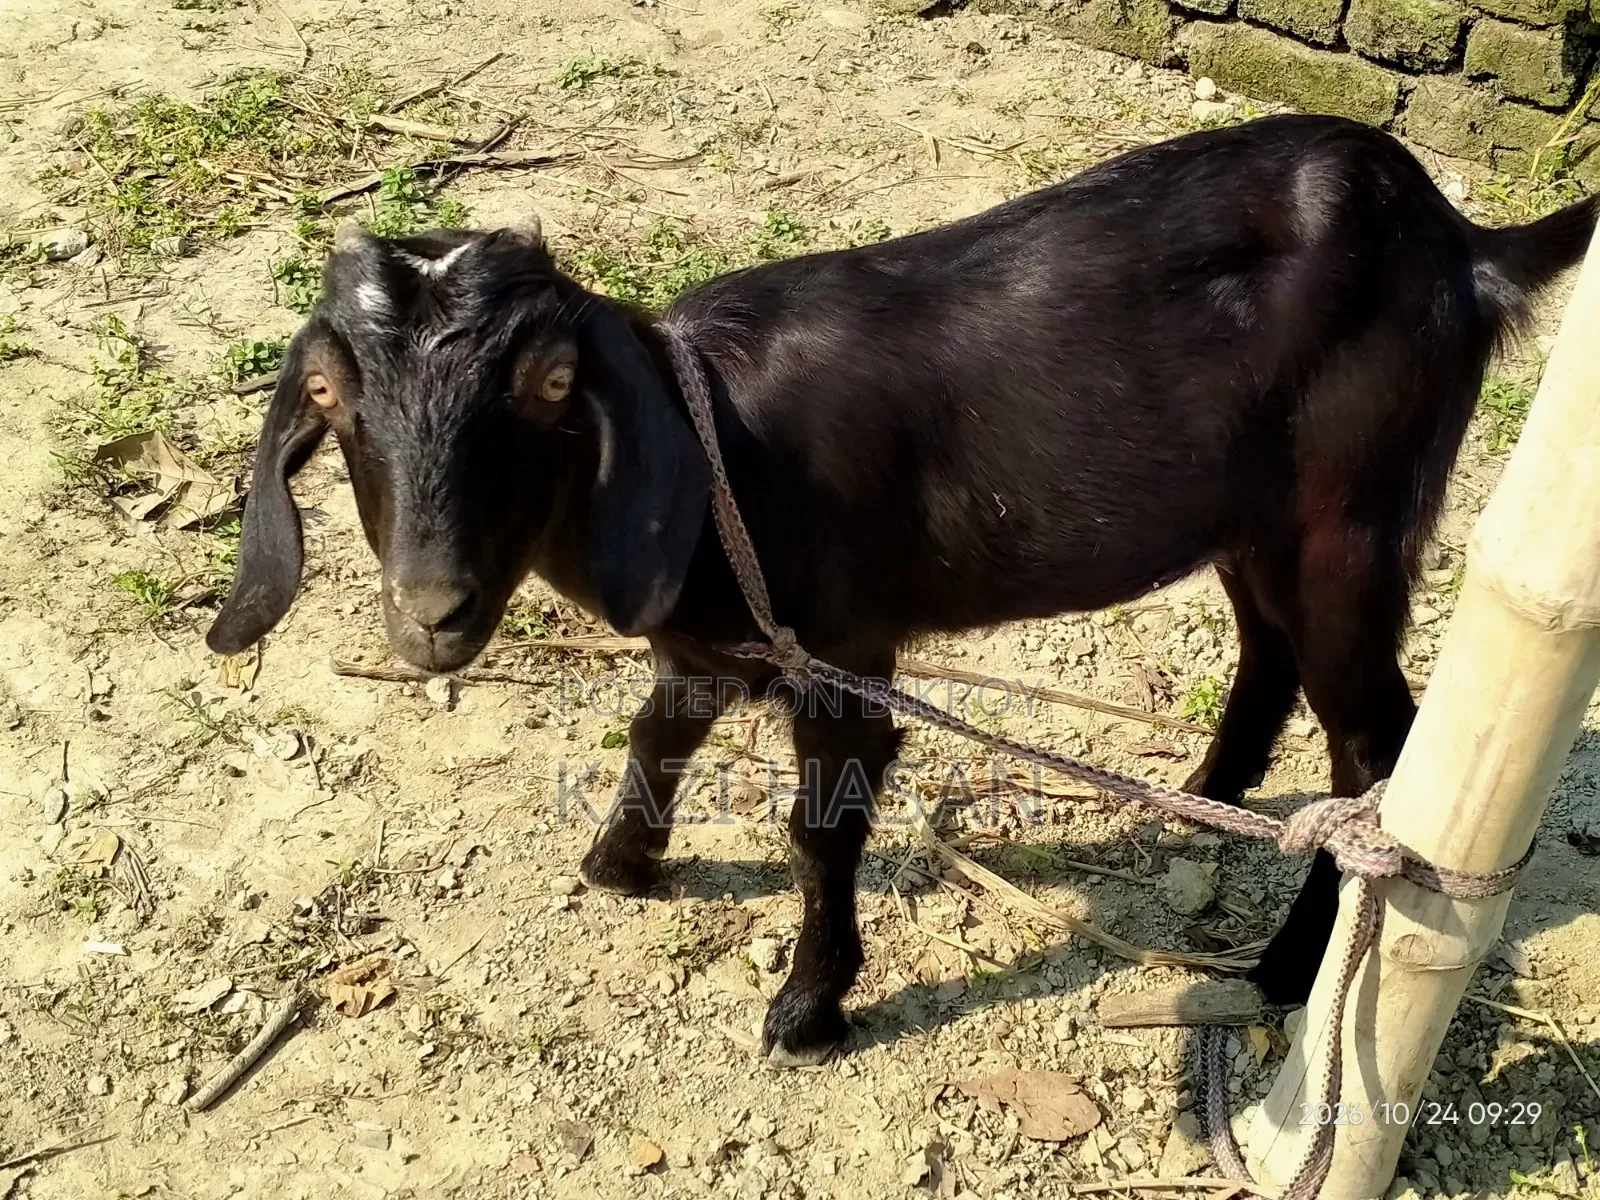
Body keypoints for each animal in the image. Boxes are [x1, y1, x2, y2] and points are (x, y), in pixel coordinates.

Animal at [208, 115, 1597, 1066]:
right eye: (327, 394)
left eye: (552, 385)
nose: (429, 612)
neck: (713, 450)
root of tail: (1460, 247)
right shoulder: (716, 639)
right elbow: (656, 731)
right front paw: (620, 863)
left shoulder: (842, 646)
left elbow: (822, 822)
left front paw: (807, 1006)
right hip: (1254, 517)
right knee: (1267, 646)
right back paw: (1208, 795)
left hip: (1354, 514)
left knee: (1377, 750)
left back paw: (1287, 966)